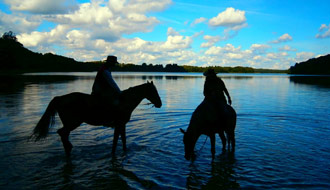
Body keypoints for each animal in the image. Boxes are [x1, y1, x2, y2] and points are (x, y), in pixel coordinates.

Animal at [31, 81, 162, 157]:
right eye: (153, 91)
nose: (160, 104)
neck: (125, 102)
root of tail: (60, 98)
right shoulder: (119, 124)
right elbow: (117, 141)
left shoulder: (121, 125)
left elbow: (122, 140)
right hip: (73, 123)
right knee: (62, 133)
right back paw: (69, 148)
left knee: (63, 134)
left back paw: (69, 149)